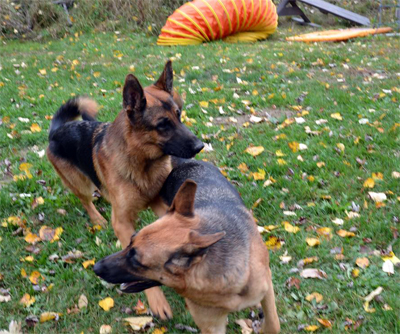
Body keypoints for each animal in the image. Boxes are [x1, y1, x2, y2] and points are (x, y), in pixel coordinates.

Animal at [46, 60, 203, 318]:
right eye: (163, 124)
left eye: (179, 115)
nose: (201, 146)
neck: (142, 163)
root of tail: (56, 130)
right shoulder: (121, 222)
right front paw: (157, 301)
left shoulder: (160, 204)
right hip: (80, 184)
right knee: (85, 200)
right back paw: (96, 218)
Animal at [94, 160, 282, 334]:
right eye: (130, 240)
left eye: (136, 262)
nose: (96, 267)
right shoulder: (213, 327)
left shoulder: (267, 290)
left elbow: (274, 324)